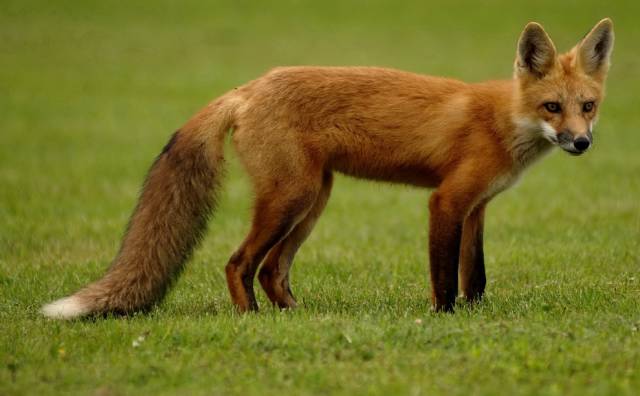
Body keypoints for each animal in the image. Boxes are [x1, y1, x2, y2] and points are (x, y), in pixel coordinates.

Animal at [42, 18, 612, 318]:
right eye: (552, 108)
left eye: (588, 106)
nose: (582, 143)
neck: (503, 121)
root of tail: (246, 88)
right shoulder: (446, 201)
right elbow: (445, 278)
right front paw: (444, 319)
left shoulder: (476, 207)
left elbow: (477, 275)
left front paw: (474, 317)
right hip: (290, 198)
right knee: (238, 263)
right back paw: (250, 320)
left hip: (314, 201)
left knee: (271, 269)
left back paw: (294, 318)